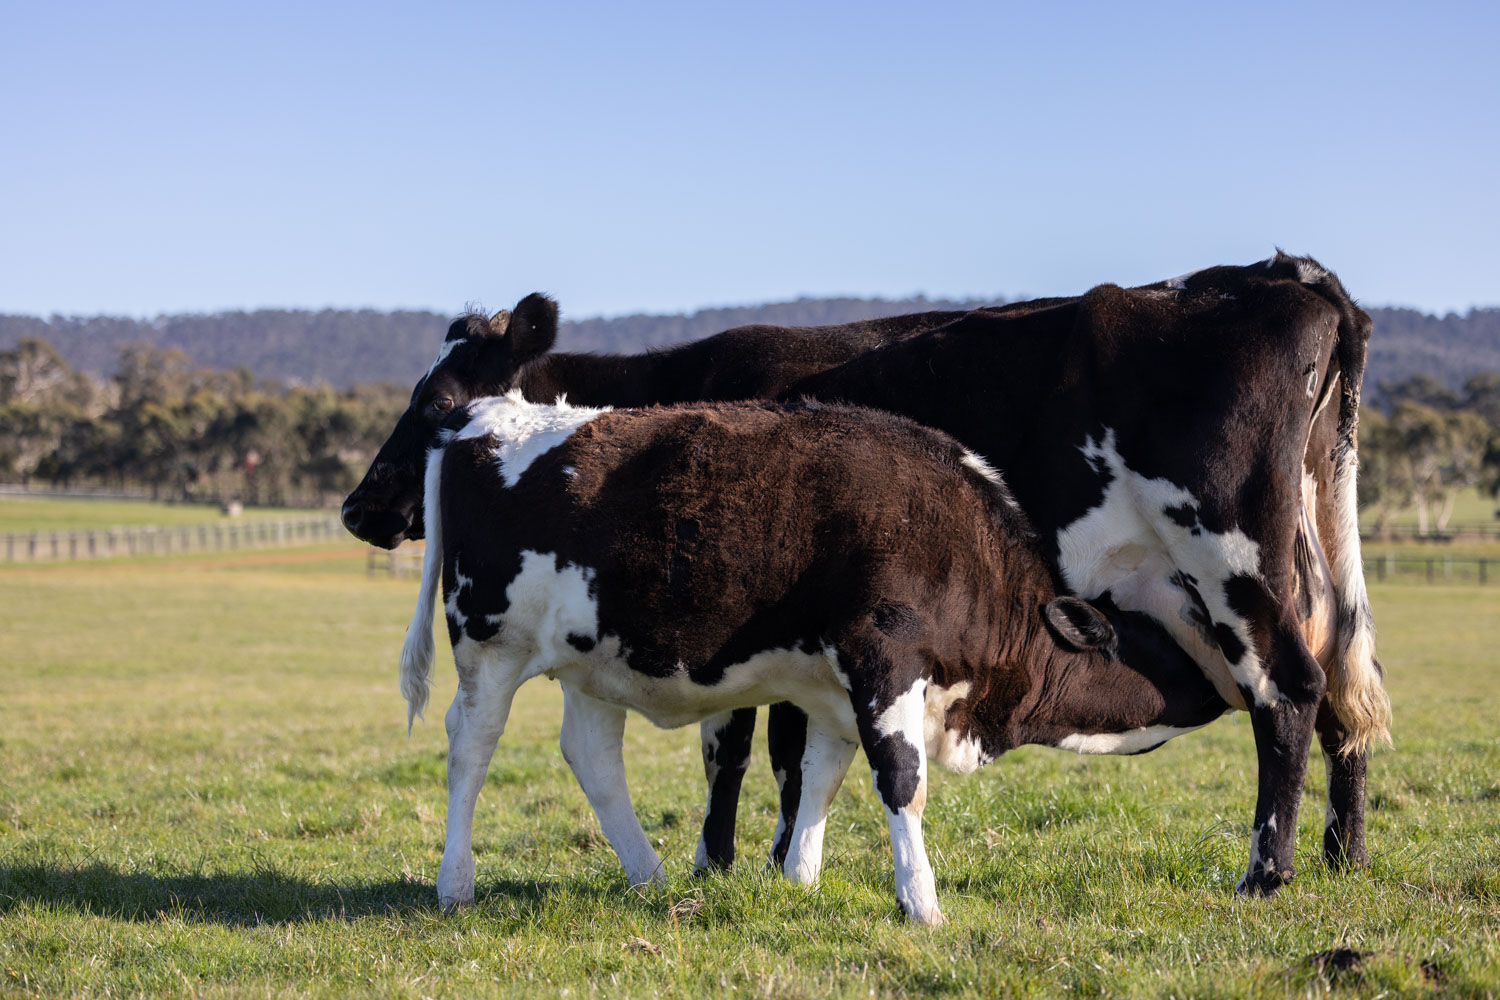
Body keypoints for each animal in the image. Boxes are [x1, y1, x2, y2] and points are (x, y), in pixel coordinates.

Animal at [399, 393, 1231, 924]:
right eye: (1158, 646)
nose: (1222, 689)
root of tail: (482, 411)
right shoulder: (885, 661)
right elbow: (902, 783)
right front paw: (921, 901)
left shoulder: (836, 688)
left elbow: (821, 781)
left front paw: (800, 880)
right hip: (489, 646)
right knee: (470, 751)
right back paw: (454, 884)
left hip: (593, 660)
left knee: (593, 757)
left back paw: (649, 876)